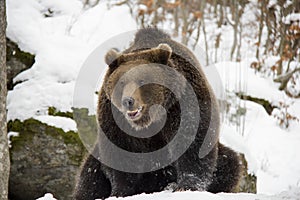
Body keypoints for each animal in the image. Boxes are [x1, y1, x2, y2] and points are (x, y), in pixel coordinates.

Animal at [74, 27, 241, 199]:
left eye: (142, 81)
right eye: (122, 82)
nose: (128, 101)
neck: (152, 118)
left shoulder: (183, 104)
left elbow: (193, 145)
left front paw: (185, 186)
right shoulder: (115, 118)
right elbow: (120, 153)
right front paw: (120, 191)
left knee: (230, 162)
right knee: (89, 174)